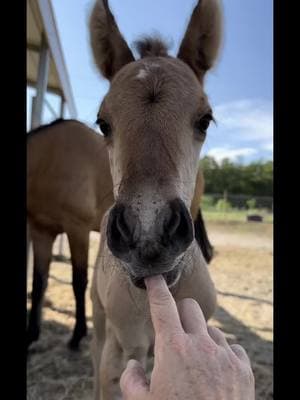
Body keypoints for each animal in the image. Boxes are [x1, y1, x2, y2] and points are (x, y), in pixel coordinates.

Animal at [26, 119, 213, 350]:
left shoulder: (77, 229)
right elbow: (38, 283)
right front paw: (31, 335)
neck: (49, 157)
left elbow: (78, 282)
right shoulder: (41, 231)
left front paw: (77, 335)